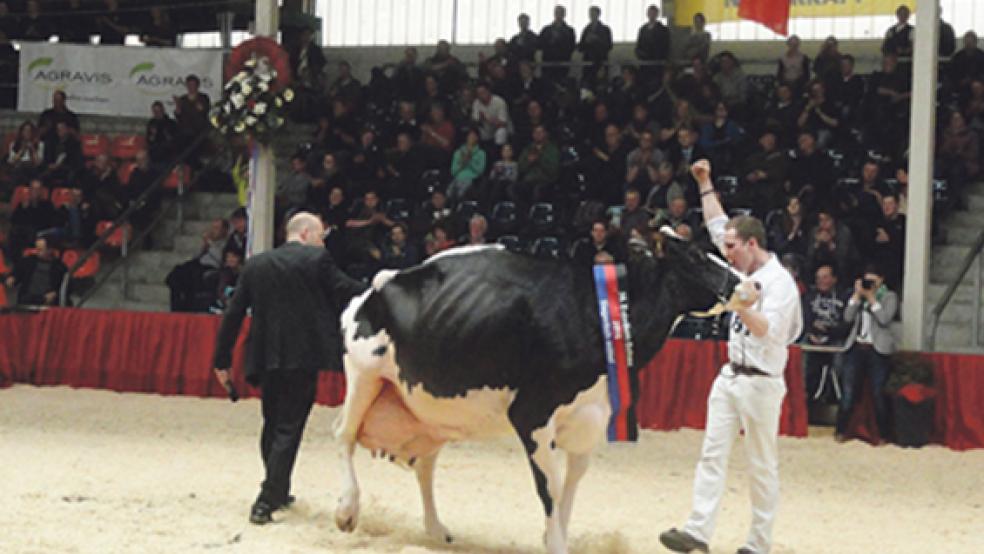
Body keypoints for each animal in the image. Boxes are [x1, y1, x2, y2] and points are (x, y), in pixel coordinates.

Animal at [330, 231, 744, 548]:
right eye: (697, 256)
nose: (749, 283)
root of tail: (377, 283)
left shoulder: (590, 417)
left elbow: (571, 487)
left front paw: (555, 537)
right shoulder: (532, 414)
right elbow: (552, 489)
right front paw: (555, 543)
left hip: (431, 413)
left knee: (425, 465)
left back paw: (436, 529)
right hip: (364, 373)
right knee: (344, 435)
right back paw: (347, 509)